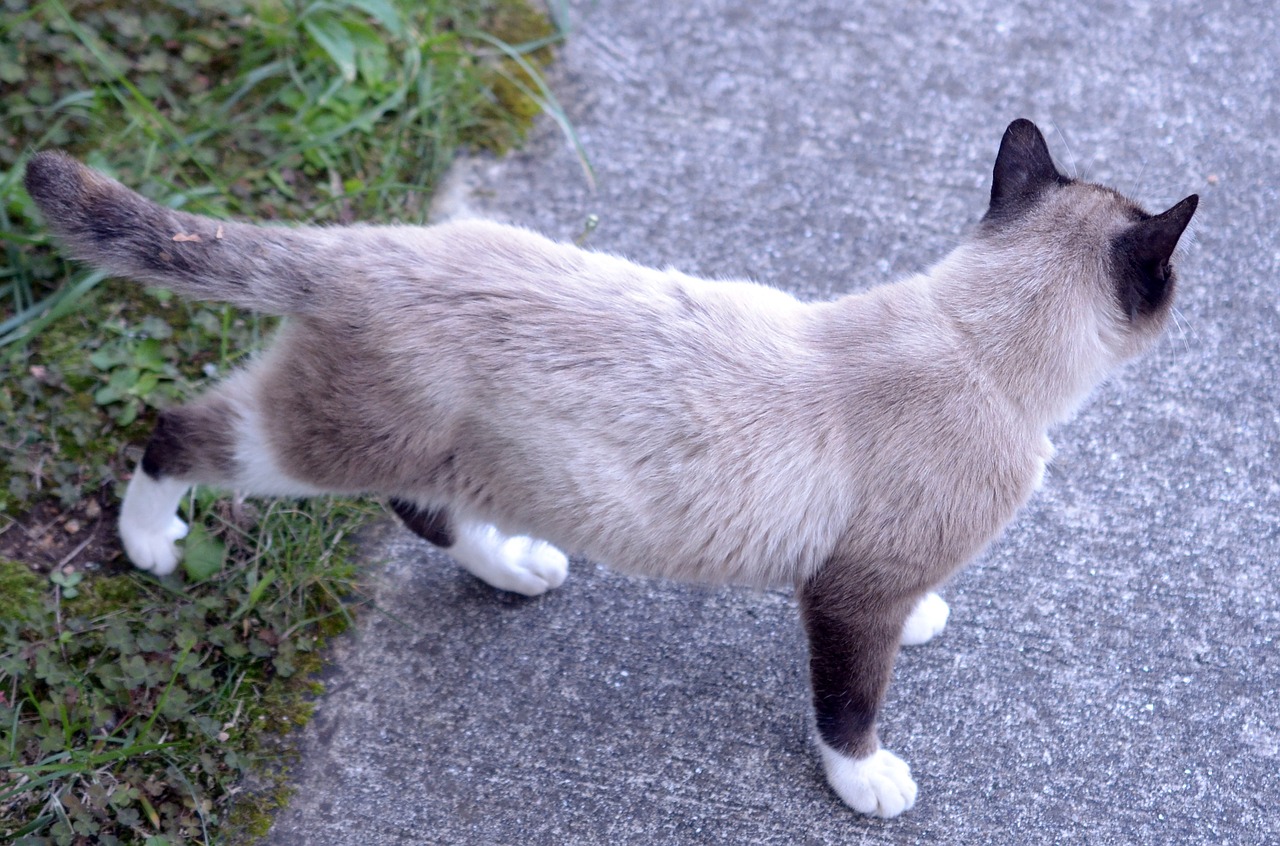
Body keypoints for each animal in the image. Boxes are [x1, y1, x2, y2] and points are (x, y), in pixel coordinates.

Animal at [22, 122, 1198, 814]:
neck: (976, 344)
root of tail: (374, 244)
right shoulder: (846, 597)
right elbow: (848, 706)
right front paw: (868, 783)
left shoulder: (872, 575)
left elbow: (900, 626)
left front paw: (928, 624)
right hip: (312, 445)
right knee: (180, 429)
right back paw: (152, 544)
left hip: (436, 448)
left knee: (424, 509)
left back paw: (520, 569)